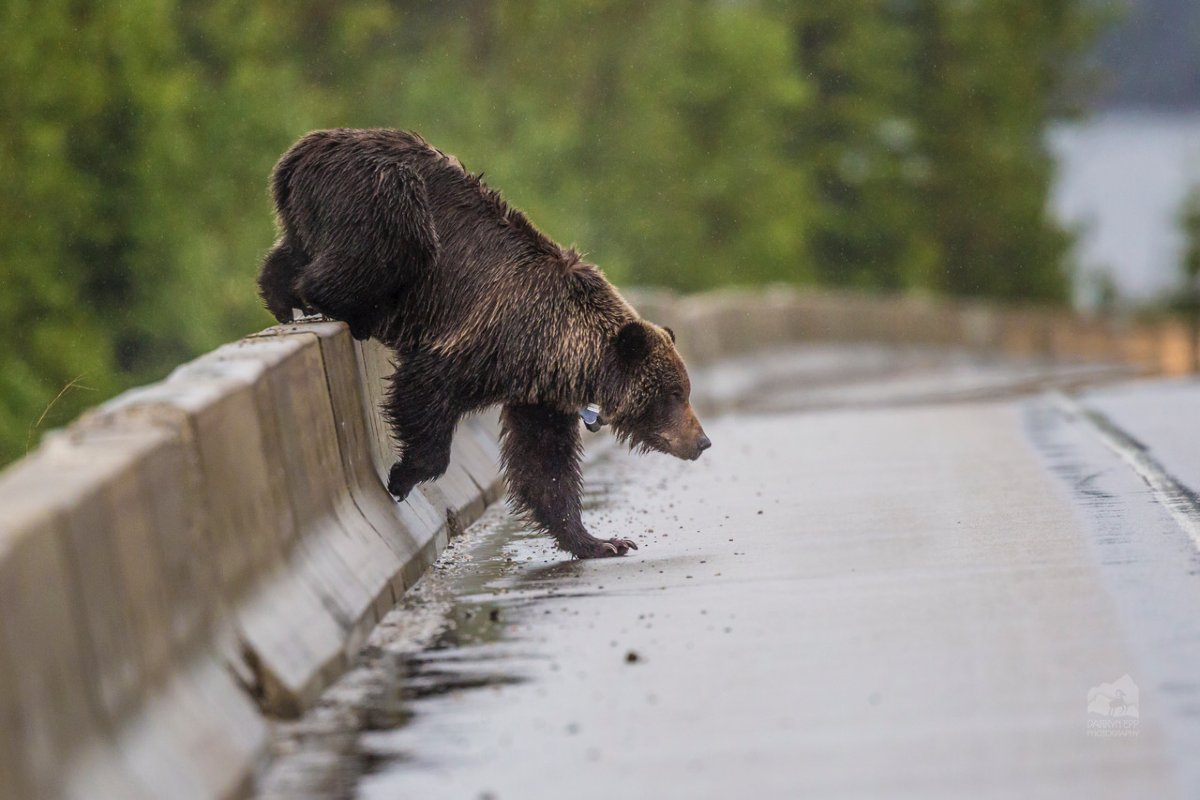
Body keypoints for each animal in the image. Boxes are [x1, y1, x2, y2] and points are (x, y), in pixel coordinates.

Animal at [258, 128, 705, 561]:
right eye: (673, 393)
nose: (702, 441)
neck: (560, 350)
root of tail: (300, 150)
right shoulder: (485, 339)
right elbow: (424, 390)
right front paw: (403, 476)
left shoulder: (537, 395)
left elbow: (544, 462)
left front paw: (601, 541)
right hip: (378, 192)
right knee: (391, 245)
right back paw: (335, 307)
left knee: (294, 248)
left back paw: (281, 294)